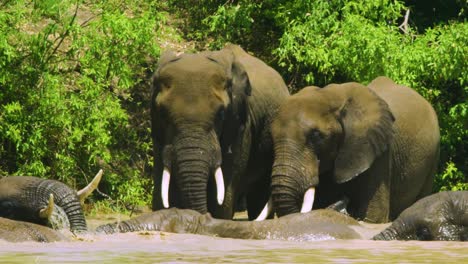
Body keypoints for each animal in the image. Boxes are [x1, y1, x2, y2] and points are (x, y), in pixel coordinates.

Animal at [266, 76, 440, 223]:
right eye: (271, 136)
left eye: (316, 136)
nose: (344, 201)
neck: (331, 96)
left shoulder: (379, 153)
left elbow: (374, 216)